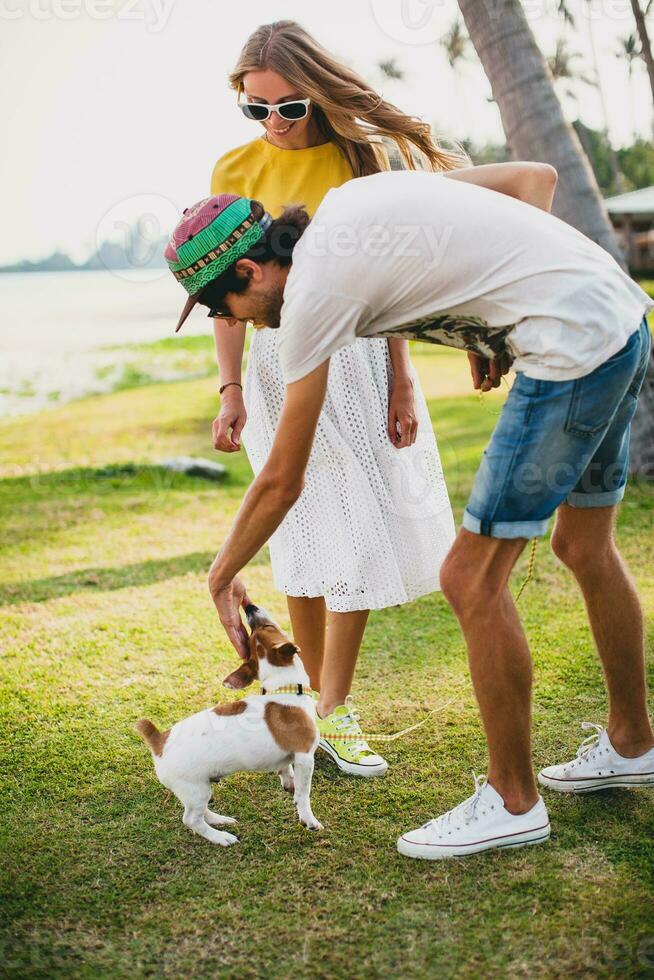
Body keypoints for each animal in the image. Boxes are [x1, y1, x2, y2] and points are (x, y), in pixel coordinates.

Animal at [136, 604, 322, 844]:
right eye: (269, 627)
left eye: (260, 630)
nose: (249, 607)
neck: (285, 690)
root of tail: (159, 740)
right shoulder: (305, 757)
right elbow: (303, 793)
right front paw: (308, 819)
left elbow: (286, 771)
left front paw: (288, 782)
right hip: (196, 788)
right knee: (191, 820)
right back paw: (220, 837)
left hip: (198, 788)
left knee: (199, 812)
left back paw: (219, 820)